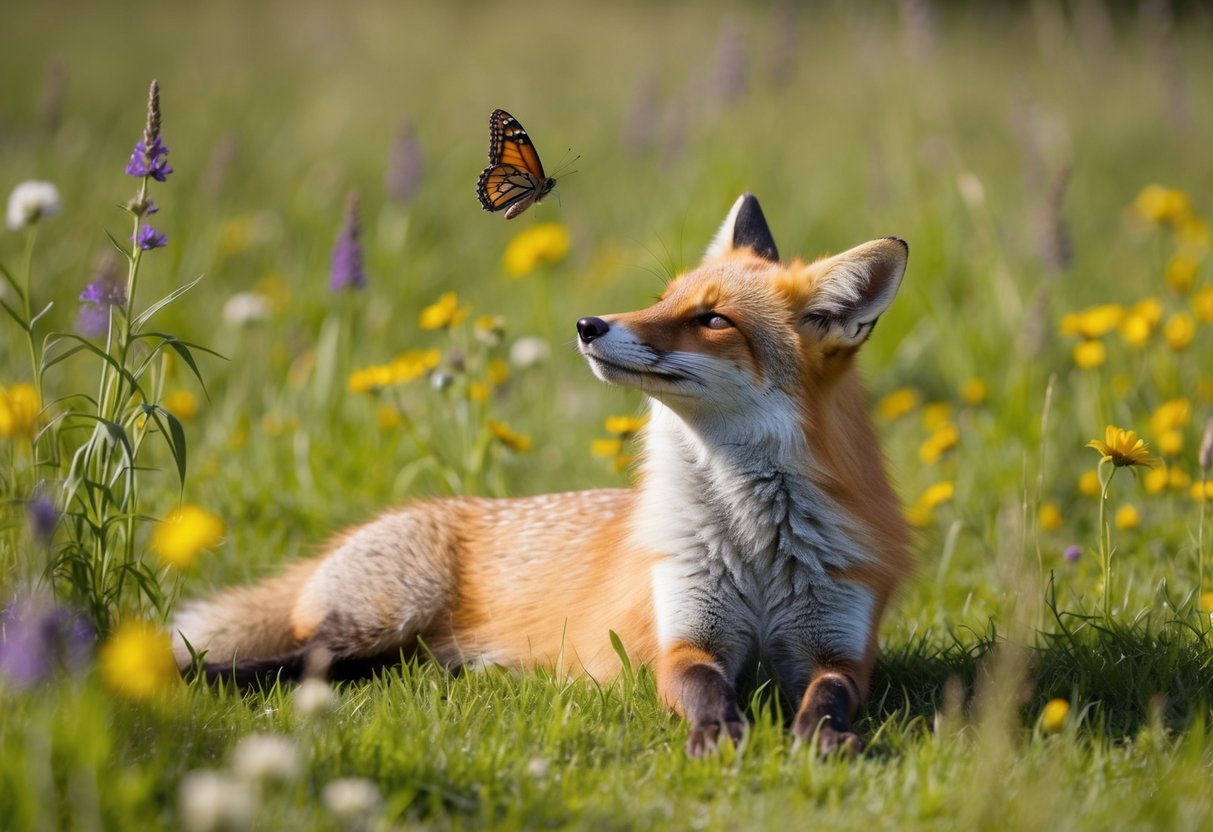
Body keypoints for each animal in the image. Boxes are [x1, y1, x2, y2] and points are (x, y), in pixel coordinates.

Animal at [174, 193, 912, 756]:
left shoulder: (841, 649)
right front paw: (718, 732)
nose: (589, 324)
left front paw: (822, 737)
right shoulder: (681, 639)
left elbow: (829, 696)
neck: (754, 547)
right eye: (659, 299)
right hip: (374, 623)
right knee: (277, 662)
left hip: (397, 649)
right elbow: (702, 689)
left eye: (711, 319)